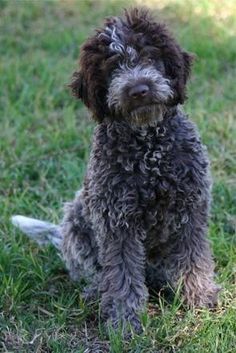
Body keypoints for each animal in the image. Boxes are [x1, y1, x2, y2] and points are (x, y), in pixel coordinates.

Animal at [12, 7, 219, 332]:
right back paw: (96, 292)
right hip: (76, 219)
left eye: (149, 56)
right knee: (94, 272)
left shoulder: (191, 209)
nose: (139, 90)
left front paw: (200, 298)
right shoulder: (117, 222)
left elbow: (193, 260)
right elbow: (121, 275)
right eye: (112, 67)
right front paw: (124, 319)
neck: (149, 148)